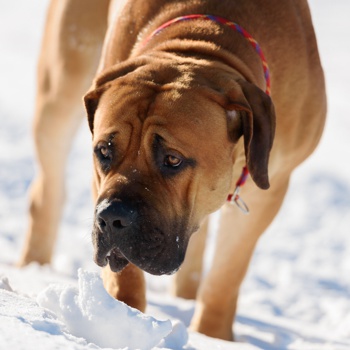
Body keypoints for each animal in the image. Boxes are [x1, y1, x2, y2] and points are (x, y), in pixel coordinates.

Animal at [19, 0, 326, 340]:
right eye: (104, 151)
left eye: (173, 159)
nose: (111, 218)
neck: (201, 44)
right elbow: (126, 275)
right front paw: (127, 319)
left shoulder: (269, 188)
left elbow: (226, 275)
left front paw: (212, 336)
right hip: (62, 82)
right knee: (47, 189)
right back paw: (32, 269)